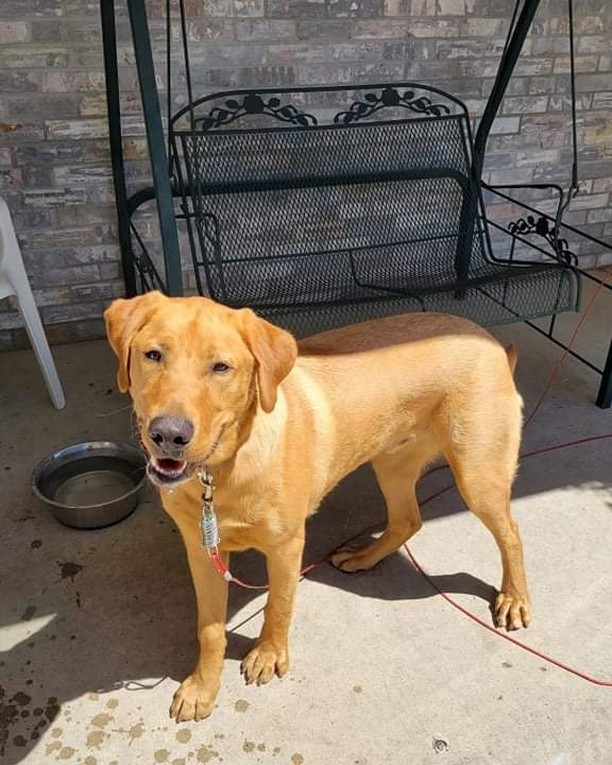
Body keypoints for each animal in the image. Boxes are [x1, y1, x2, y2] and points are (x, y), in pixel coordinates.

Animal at [105, 292, 532, 724]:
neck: (221, 473)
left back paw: (514, 598)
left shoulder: (286, 547)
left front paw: (268, 654)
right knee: (407, 521)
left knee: (511, 533)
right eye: (153, 355)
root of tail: (491, 340)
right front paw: (202, 688)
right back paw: (365, 556)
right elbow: (209, 629)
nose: (168, 435)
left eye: (221, 367)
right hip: (392, 464)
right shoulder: (202, 550)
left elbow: (278, 606)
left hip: (477, 475)